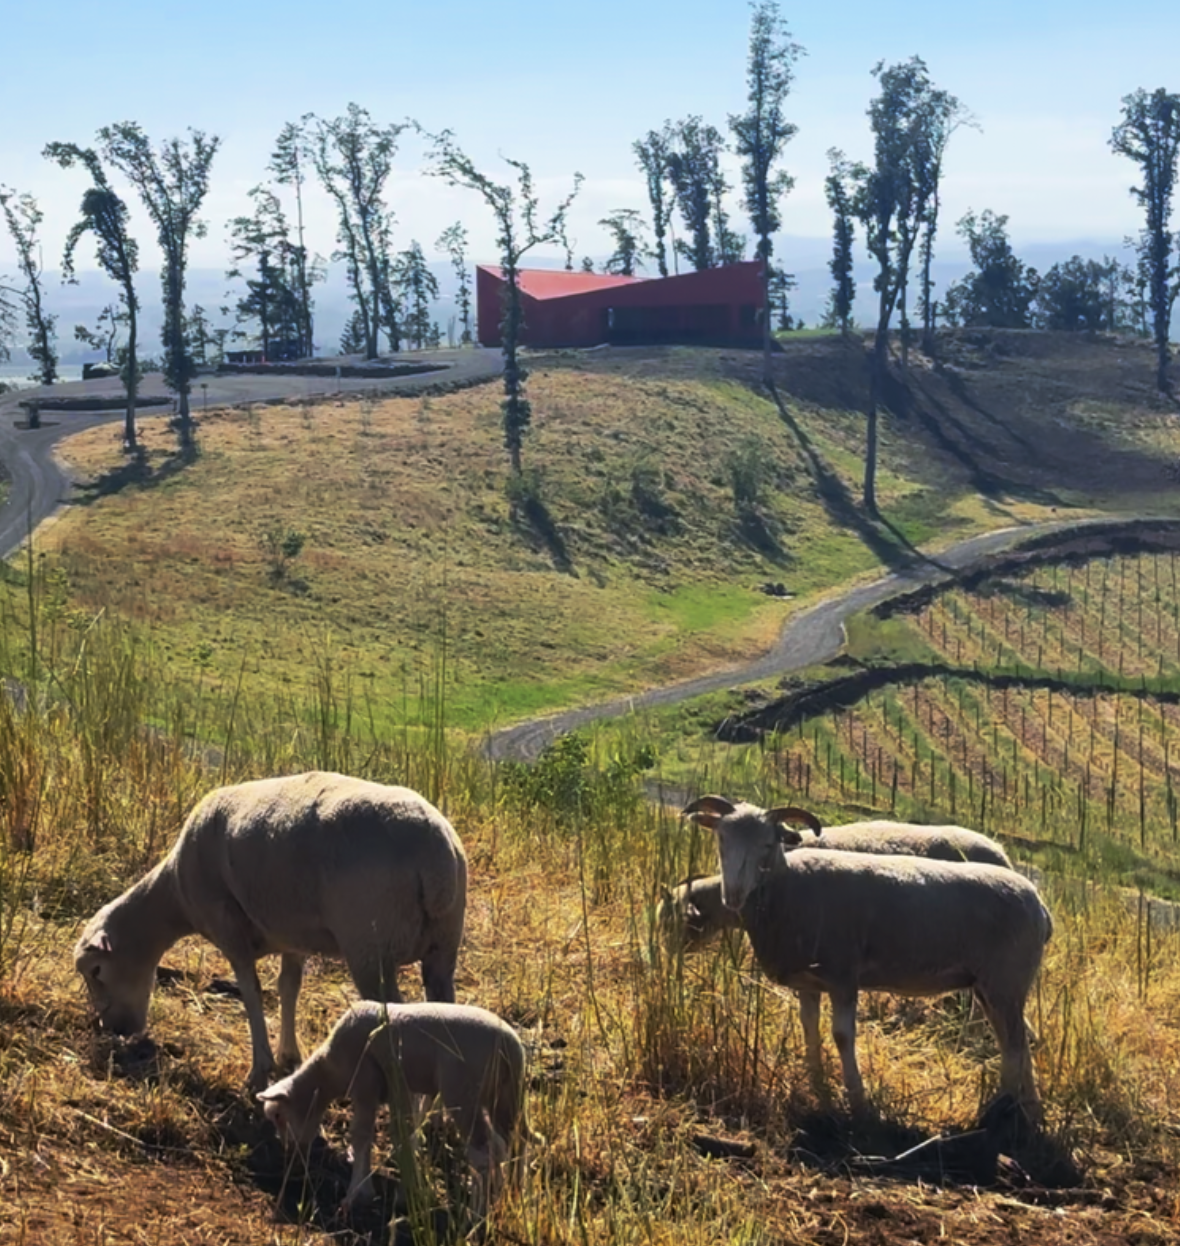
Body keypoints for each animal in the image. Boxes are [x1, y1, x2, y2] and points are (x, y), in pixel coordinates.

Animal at [74, 771, 468, 1091]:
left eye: (96, 971)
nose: (112, 1030)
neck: (177, 893)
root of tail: (435, 858)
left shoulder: (227, 926)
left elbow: (252, 993)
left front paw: (259, 1070)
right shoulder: (293, 935)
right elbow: (288, 988)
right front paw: (288, 1058)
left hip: (370, 946)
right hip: (443, 945)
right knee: (446, 1018)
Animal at [257, 1001, 532, 1215]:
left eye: (278, 1116)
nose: (289, 1150)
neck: (330, 1071)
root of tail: (509, 1045)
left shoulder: (365, 1083)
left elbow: (361, 1135)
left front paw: (358, 1192)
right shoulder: (399, 1088)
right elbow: (405, 1133)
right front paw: (406, 1186)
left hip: (462, 1093)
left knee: (485, 1150)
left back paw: (478, 1211)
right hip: (506, 1096)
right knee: (516, 1140)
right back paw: (512, 1192)